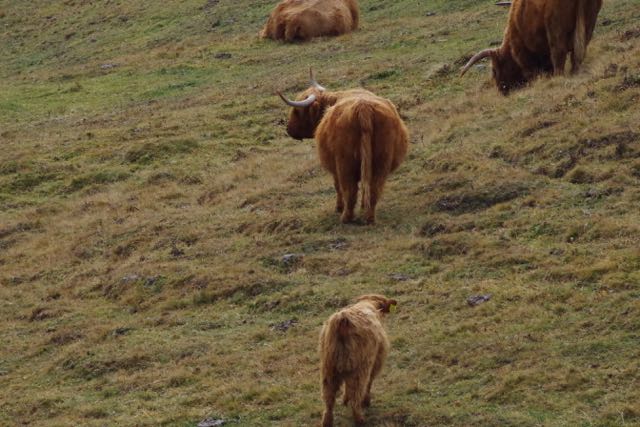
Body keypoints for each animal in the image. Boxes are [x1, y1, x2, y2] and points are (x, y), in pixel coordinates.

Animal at [278, 70, 409, 224]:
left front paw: (338, 207)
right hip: (382, 161)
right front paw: (362, 206)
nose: (288, 129)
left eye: (297, 111)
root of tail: (363, 108)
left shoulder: (335, 169)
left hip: (345, 164)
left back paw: (346, 217)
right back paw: (369, 217)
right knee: (374, 188)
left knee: (349, 190)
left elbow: (338, 187)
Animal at [461, 0, 603, 94]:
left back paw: (558, 76)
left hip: (555, 27)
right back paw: (575, 71)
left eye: (494, 71)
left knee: (558, 52)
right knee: (579, 51)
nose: (502, 90)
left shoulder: (523, 52)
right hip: (589, 19)